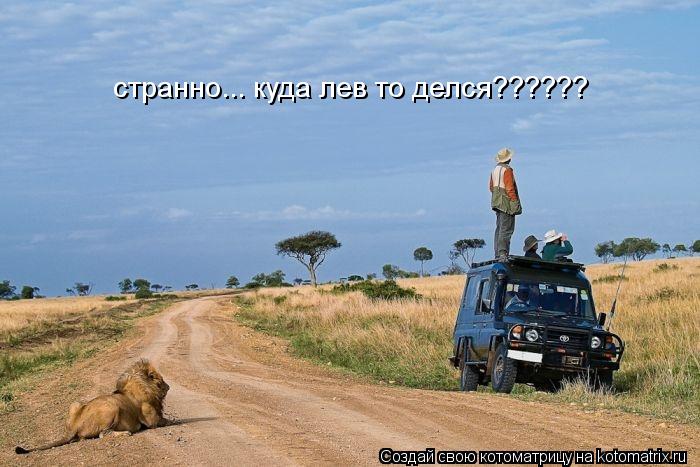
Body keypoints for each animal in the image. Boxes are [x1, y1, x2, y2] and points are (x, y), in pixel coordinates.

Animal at [15, 359, 170, 454]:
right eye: (162, 380)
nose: (169, 387)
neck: (143, 386)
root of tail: (74, 426)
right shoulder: (151, 421)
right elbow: (168, 421)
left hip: (76, 403)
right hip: (112, 407)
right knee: (103, 434)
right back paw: (125, 433)